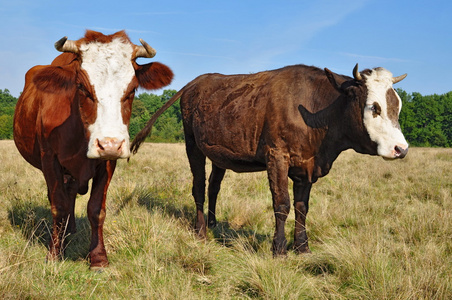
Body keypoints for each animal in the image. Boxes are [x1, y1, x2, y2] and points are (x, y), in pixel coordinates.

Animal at [13, 31, 173, 270]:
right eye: (81, 87)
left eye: (133, 89)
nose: (110, 144)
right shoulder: (49, 159)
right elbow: (58, 205)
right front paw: (54, 253)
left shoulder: (107, 162)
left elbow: (96, 209)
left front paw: (98, 258)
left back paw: (70, 231)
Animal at [130, 63, 406, 255]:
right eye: (374, 107)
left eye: (398, 106)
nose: (401, 149)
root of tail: (199, 80)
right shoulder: (277, 156)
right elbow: (282, 204)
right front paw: (279, 249)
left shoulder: (305, 166)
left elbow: (302, 207)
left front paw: (302, 247)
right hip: (192, 144)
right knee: (198, 186)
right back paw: (200, 232)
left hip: (218, 152)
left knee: (213, 187)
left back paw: (213, 223)